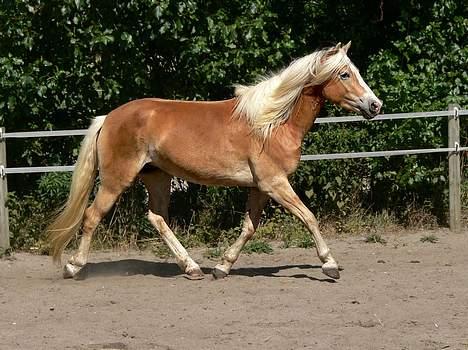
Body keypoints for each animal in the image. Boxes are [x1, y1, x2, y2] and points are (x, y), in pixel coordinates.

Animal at [46, 41, 380, 280]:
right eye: (345, 74)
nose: (375, 105)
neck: (271, 123)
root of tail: (109, 117)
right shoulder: (275, 183)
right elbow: (309, 217)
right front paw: (330, 265)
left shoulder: (260, 187)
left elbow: (248, 228)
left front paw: (222, 267)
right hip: (117, 179)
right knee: (92, 216)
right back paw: (73, 267)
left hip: (157, 177)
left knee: (157, 218)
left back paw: (192, 268)